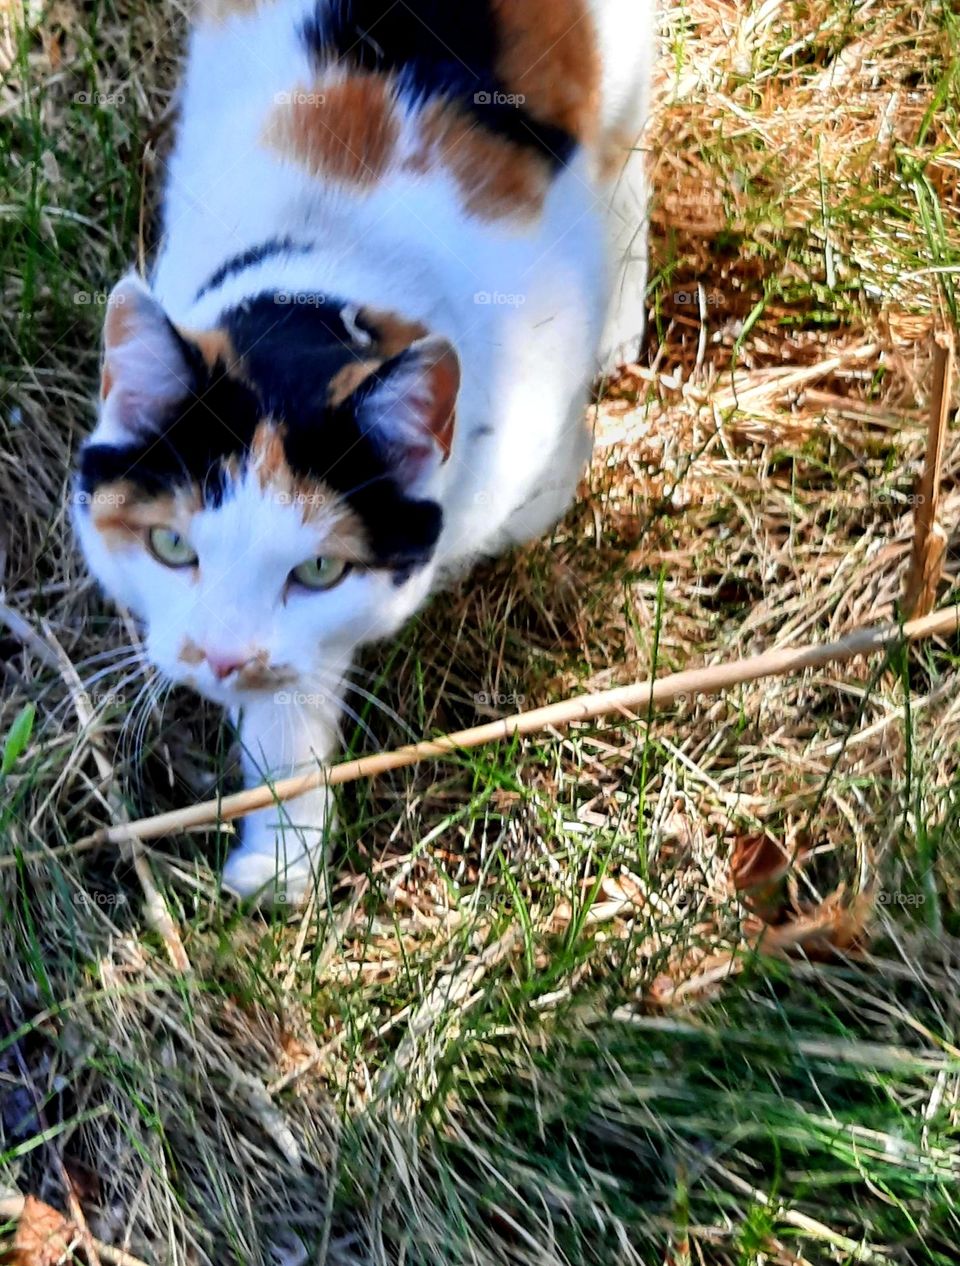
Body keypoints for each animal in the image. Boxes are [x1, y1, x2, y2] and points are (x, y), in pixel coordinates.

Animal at [75, 0, 653, 901]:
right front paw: (280, 859)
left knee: (630, 163)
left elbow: (535, 494)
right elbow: (290, 701)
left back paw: (624, 320)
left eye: (319, 569)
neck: (333, 265)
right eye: (171, 546)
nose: (221, 659)